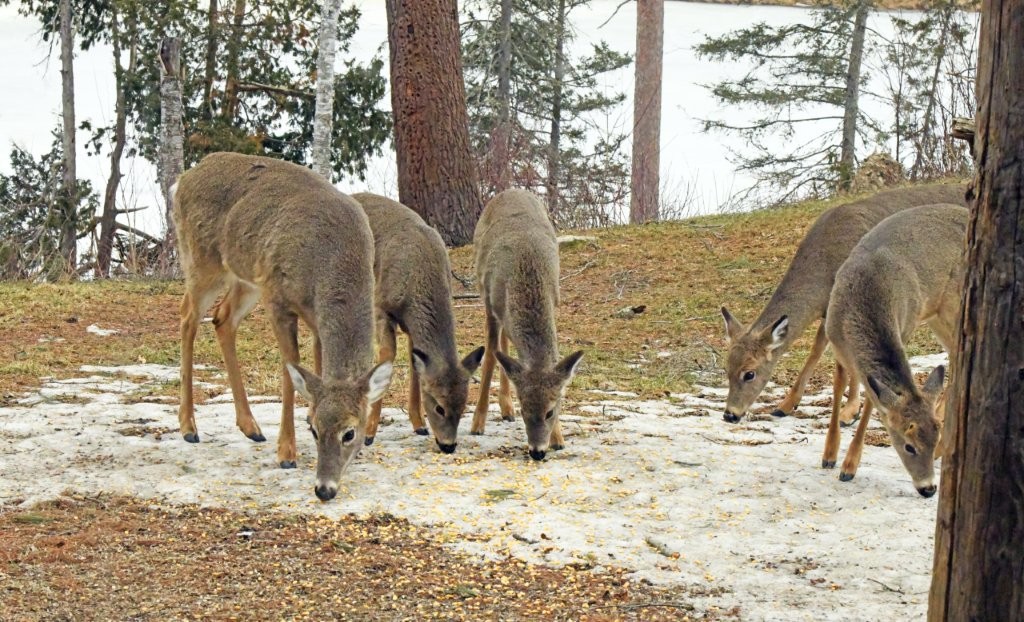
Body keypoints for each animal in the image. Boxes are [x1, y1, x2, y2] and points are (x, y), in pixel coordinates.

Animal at [172, 152, 392, 502]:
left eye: (350, 433)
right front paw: (287, 452)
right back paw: (189, 427)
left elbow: (316, 369)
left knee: (222, 318)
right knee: (187, 316)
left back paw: (250, 427)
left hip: (246, 277)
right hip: (202, 260)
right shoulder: (277, 298)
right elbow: (291, 372)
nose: (324, 489)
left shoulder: (316, 319)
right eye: (316, 430)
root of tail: (183, 179)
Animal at [352, 193, 485, 453]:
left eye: (464, 406)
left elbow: (416, 365)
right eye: (439, 407)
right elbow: (387, 359)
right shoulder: (382, 308)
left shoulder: (411, 325)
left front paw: (419, 424)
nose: (448, 445)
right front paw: (370, 433)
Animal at [469, 189, 584, 460]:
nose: (537, 452)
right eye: (525, 409)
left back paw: (505, 408)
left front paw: (558, 438)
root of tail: (510, 190)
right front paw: (477, 423)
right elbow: (489, 360)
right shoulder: (491, 305)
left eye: (550, 411)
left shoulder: (555, 300)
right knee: (500, 346)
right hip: (484, 290)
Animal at [720, 182, 967, 424]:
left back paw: (940, 412)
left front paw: (850, 412)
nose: (730, 414)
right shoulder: (828, 311)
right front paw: (785, 405)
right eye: (726, 368)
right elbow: (816, 351)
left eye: (749, 373)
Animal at [822, 203, 967, 497]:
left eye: (931, 438)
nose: (929, 489)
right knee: (954, 354)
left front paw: (849, 467)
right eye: (908, 445)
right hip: (938, 314)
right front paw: (829, 455)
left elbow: (871, 401)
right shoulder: (835, 342)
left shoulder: (906, 326)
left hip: (951, 305)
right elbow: (838, 384)